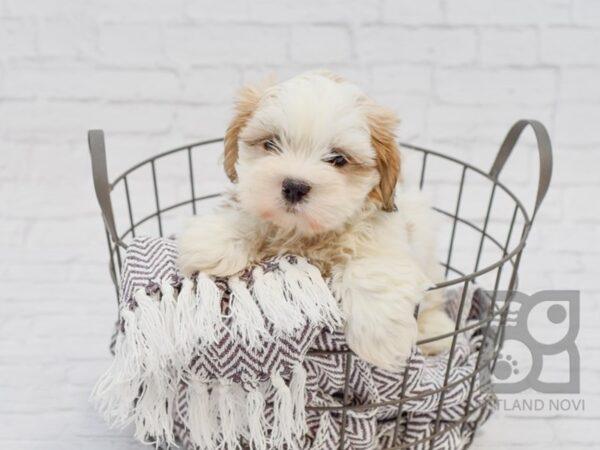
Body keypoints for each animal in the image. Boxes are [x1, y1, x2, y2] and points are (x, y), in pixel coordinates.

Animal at [178, 72, 454, 370]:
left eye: (338, 159)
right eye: (271, 144)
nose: (294, 187)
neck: (304, 234)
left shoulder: (386, 235)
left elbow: (373, 272)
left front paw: (380, 337)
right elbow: (249, 214)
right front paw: (216, 240)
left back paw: (434, 330)